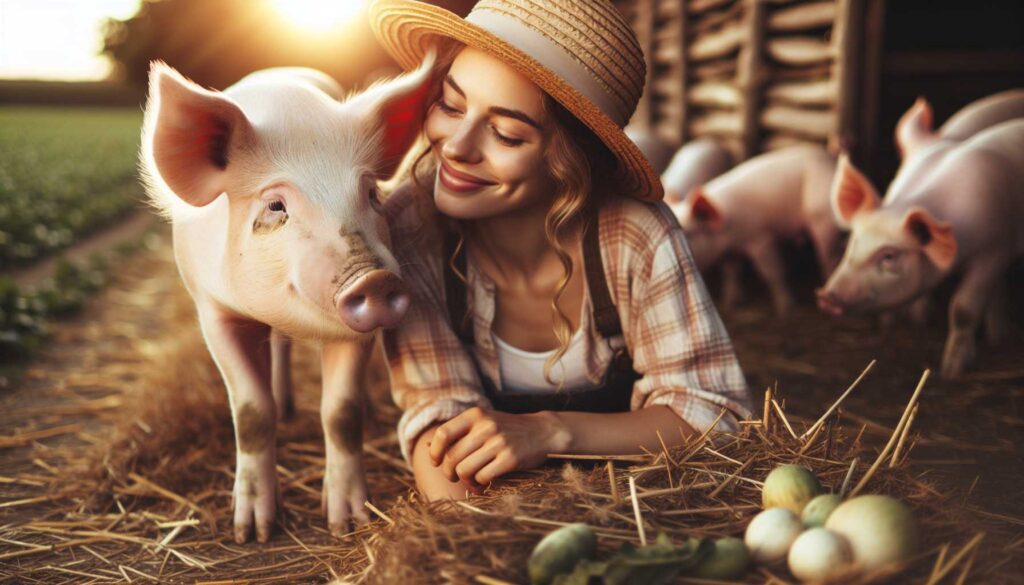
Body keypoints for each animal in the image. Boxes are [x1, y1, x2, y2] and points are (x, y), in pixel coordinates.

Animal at [140, 55, 434, 543]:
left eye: (371, 193)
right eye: (276, 206)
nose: (374, 279)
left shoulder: (354, 334)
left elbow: (341, 412)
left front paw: (347, 523)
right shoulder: (213, 311)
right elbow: (251, 411)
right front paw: (253, 532)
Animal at [671, 145, 839, 317]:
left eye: (689, 234)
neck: (729, 233)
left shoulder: (761, 238)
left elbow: (773, 273)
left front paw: (785, 309)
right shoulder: (730, 252)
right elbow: (731, 273)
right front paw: (731, 303)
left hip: (824, 219)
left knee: (829, 257)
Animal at [817, 119, 1024, 378]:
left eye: (889, 256)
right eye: (854, 241)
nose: (825, 296)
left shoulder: (993, 251)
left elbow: (963, 309)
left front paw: (951, 371)